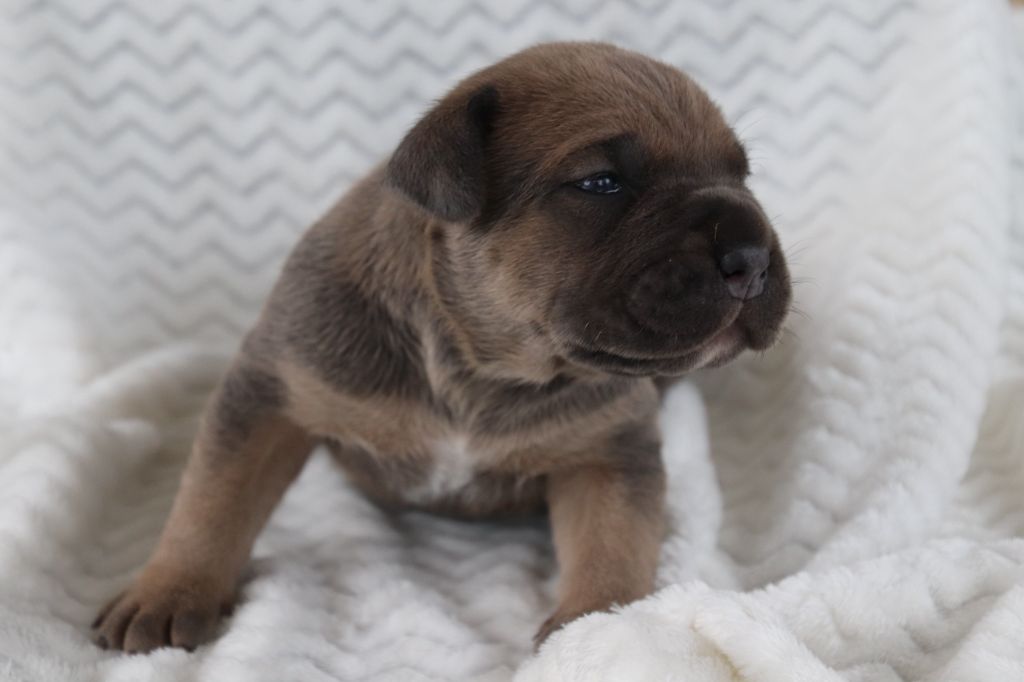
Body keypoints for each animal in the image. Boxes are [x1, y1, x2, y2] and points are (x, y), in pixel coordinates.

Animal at [92, 39, 790, 651]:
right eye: (601, 183)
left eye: (742, 175)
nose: (751, 256)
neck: (485, 362)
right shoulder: (271, 392)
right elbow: (213, 499)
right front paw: (170, 590)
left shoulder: (609, 449)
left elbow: (614, 541)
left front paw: (601, 627)